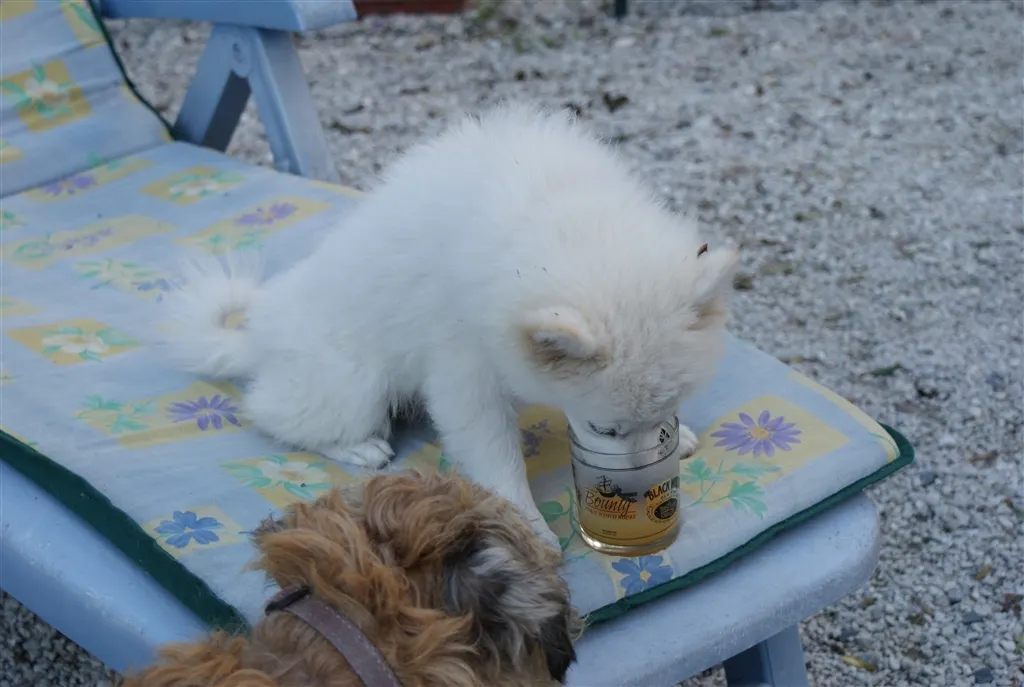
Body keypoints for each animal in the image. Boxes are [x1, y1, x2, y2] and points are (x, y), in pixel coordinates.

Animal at [163, 103, 738, 547]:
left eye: (662, 413)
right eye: (604, 431)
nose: (643, 491)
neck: (552, 213)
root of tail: (259, 334)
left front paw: (679, 434)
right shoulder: (464, 374)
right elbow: (498, 459)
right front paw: (527, 527)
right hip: (352, 385)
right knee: (271, 413)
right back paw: (357, 445)